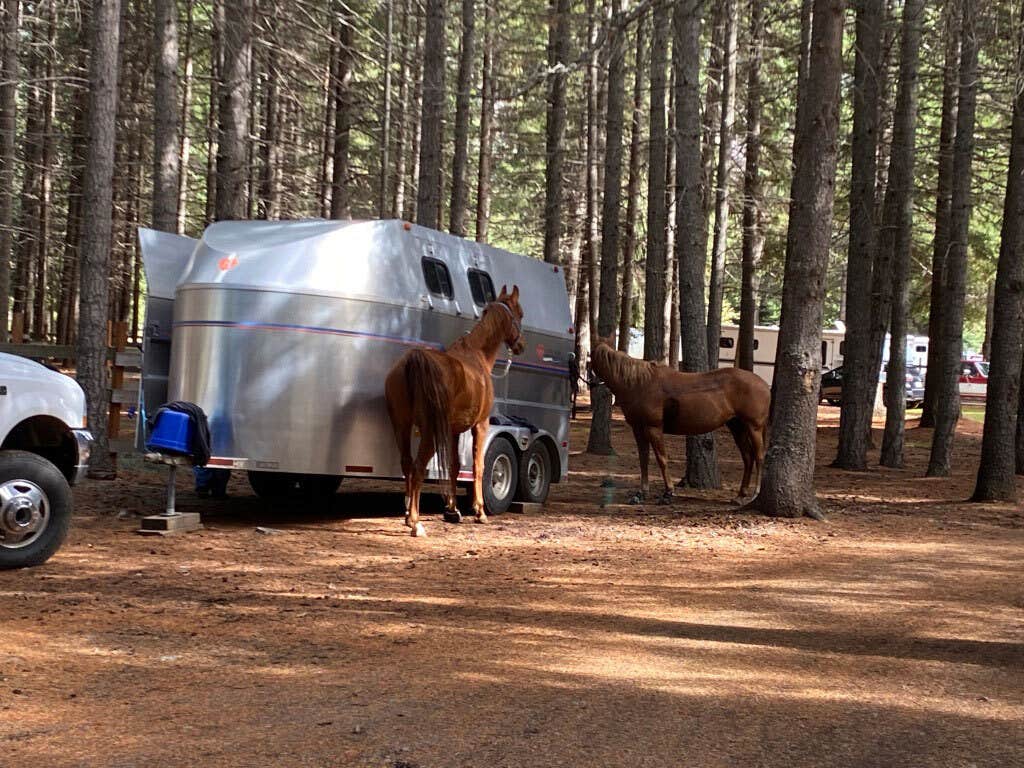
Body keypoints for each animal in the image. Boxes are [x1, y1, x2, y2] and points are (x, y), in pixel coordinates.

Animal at [384, 285, 526, 536]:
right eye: (520, 314)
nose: (521, 345)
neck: (477, 356)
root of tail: (413, 360)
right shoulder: (480, 426)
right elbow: (479, 466)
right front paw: (479, 512)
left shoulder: (453, 431)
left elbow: (454, 466)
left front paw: (452, 511)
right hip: (429, 432)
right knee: (418, 468)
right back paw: (416, 523)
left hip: (401, 425)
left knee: (407, 464)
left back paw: (408, 517)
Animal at [589, 336, 770, 505]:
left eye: (590, 356)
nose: (591, 382)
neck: (639, 384)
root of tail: (763, 384)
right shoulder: (638, 429)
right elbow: (643, 459)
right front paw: (640, 494)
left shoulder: (653, 428)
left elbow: (662, 459)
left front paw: (668, 493)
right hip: (737, 427)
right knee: (748, 457)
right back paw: (740, 496)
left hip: (754, 427)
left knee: (759, 457)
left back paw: (755, 494)